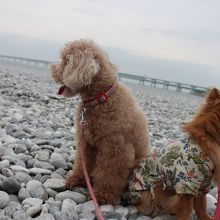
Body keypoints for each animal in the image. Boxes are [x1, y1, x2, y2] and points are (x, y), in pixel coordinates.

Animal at [50, 39, 149, 205]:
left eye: (65, 61)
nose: (52, 70)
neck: (99, 99)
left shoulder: (116, 149)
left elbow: (110, 174)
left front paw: (103, 195)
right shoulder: (86, 141)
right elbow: (82, 162)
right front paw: (77, 179)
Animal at [124, 88, 220, 220]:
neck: (210, 137)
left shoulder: (203, 184)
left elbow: (201, 207)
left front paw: (206, 218)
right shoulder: (186, 184)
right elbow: (186, 210)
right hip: (156, 188)